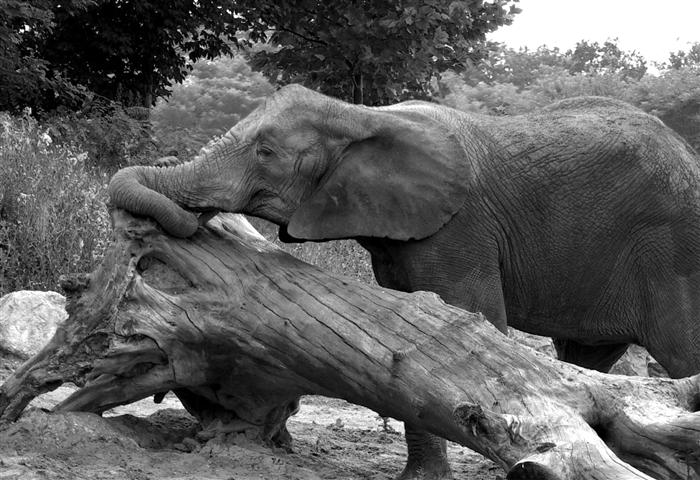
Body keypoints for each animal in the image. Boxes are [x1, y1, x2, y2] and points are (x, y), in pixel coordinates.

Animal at [109, 84, 700, 480]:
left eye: (267, 153)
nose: (190, 220)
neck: (361, 116)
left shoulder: (458, 227)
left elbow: (463, 320)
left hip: (672, 251)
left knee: (681, 352)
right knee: (586, 357)